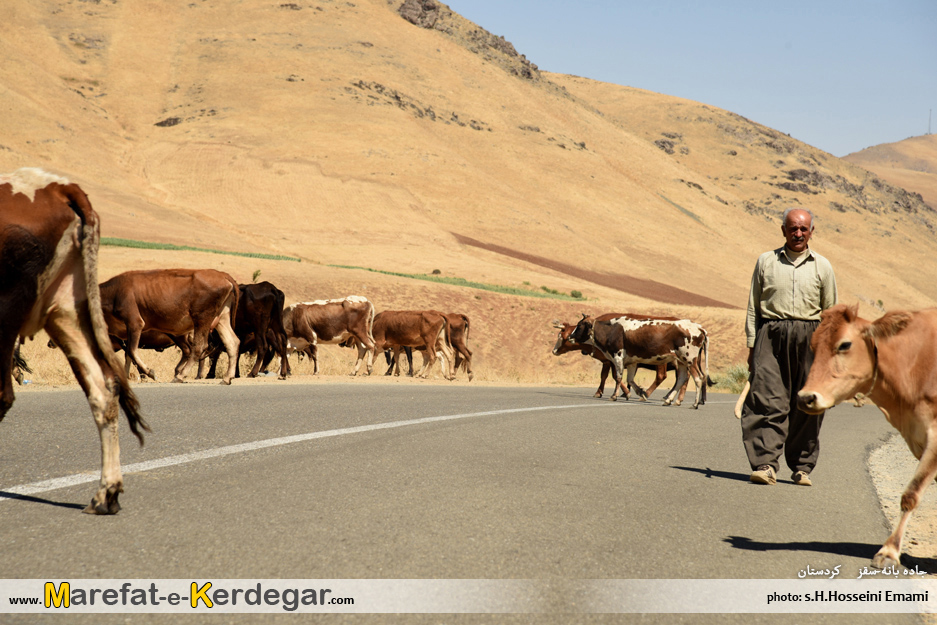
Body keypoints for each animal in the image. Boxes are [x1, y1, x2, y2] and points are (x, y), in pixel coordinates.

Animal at [97, 266, 238, 380]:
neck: (113, 292)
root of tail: (222, 274)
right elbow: (128, 355)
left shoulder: (134, 322)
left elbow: (131, 351)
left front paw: (150, 373)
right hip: (221, 318)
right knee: (232, 342)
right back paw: (227, 378)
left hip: (201, 318)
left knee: (198, 347)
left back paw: (181, 376)